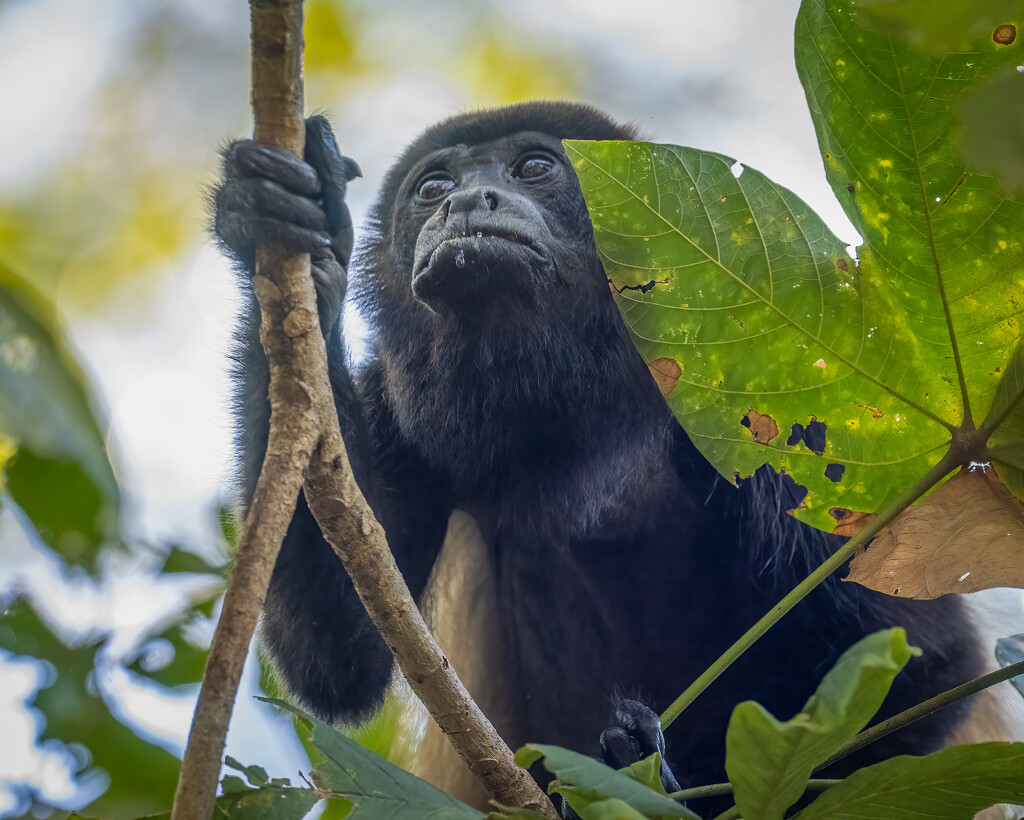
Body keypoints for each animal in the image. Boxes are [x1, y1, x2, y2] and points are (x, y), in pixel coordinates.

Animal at [216, 100, 991, 810]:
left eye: (534, 167)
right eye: (433, 187)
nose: (465, 201)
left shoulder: (788, 411)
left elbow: (927, 661)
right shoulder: (392, 395)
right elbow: (337, 657)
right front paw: (280, 221)